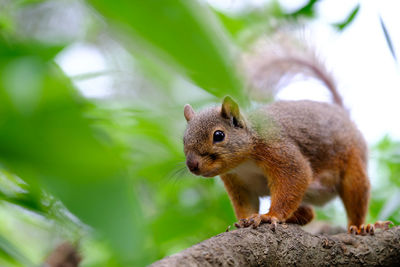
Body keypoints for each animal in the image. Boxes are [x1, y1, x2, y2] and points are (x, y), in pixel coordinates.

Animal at [183, 36, 392, 236]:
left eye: (219, 135)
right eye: (184, 139)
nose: (192, 165)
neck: (244, 162)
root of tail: (343, 115)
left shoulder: (277, 149)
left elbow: (296, 175)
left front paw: (269, 216)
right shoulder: (239, 182)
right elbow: (246, 204)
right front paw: (244, 221)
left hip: (353, 163)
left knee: (355, 194)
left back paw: (362, 226)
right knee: (309, 214)